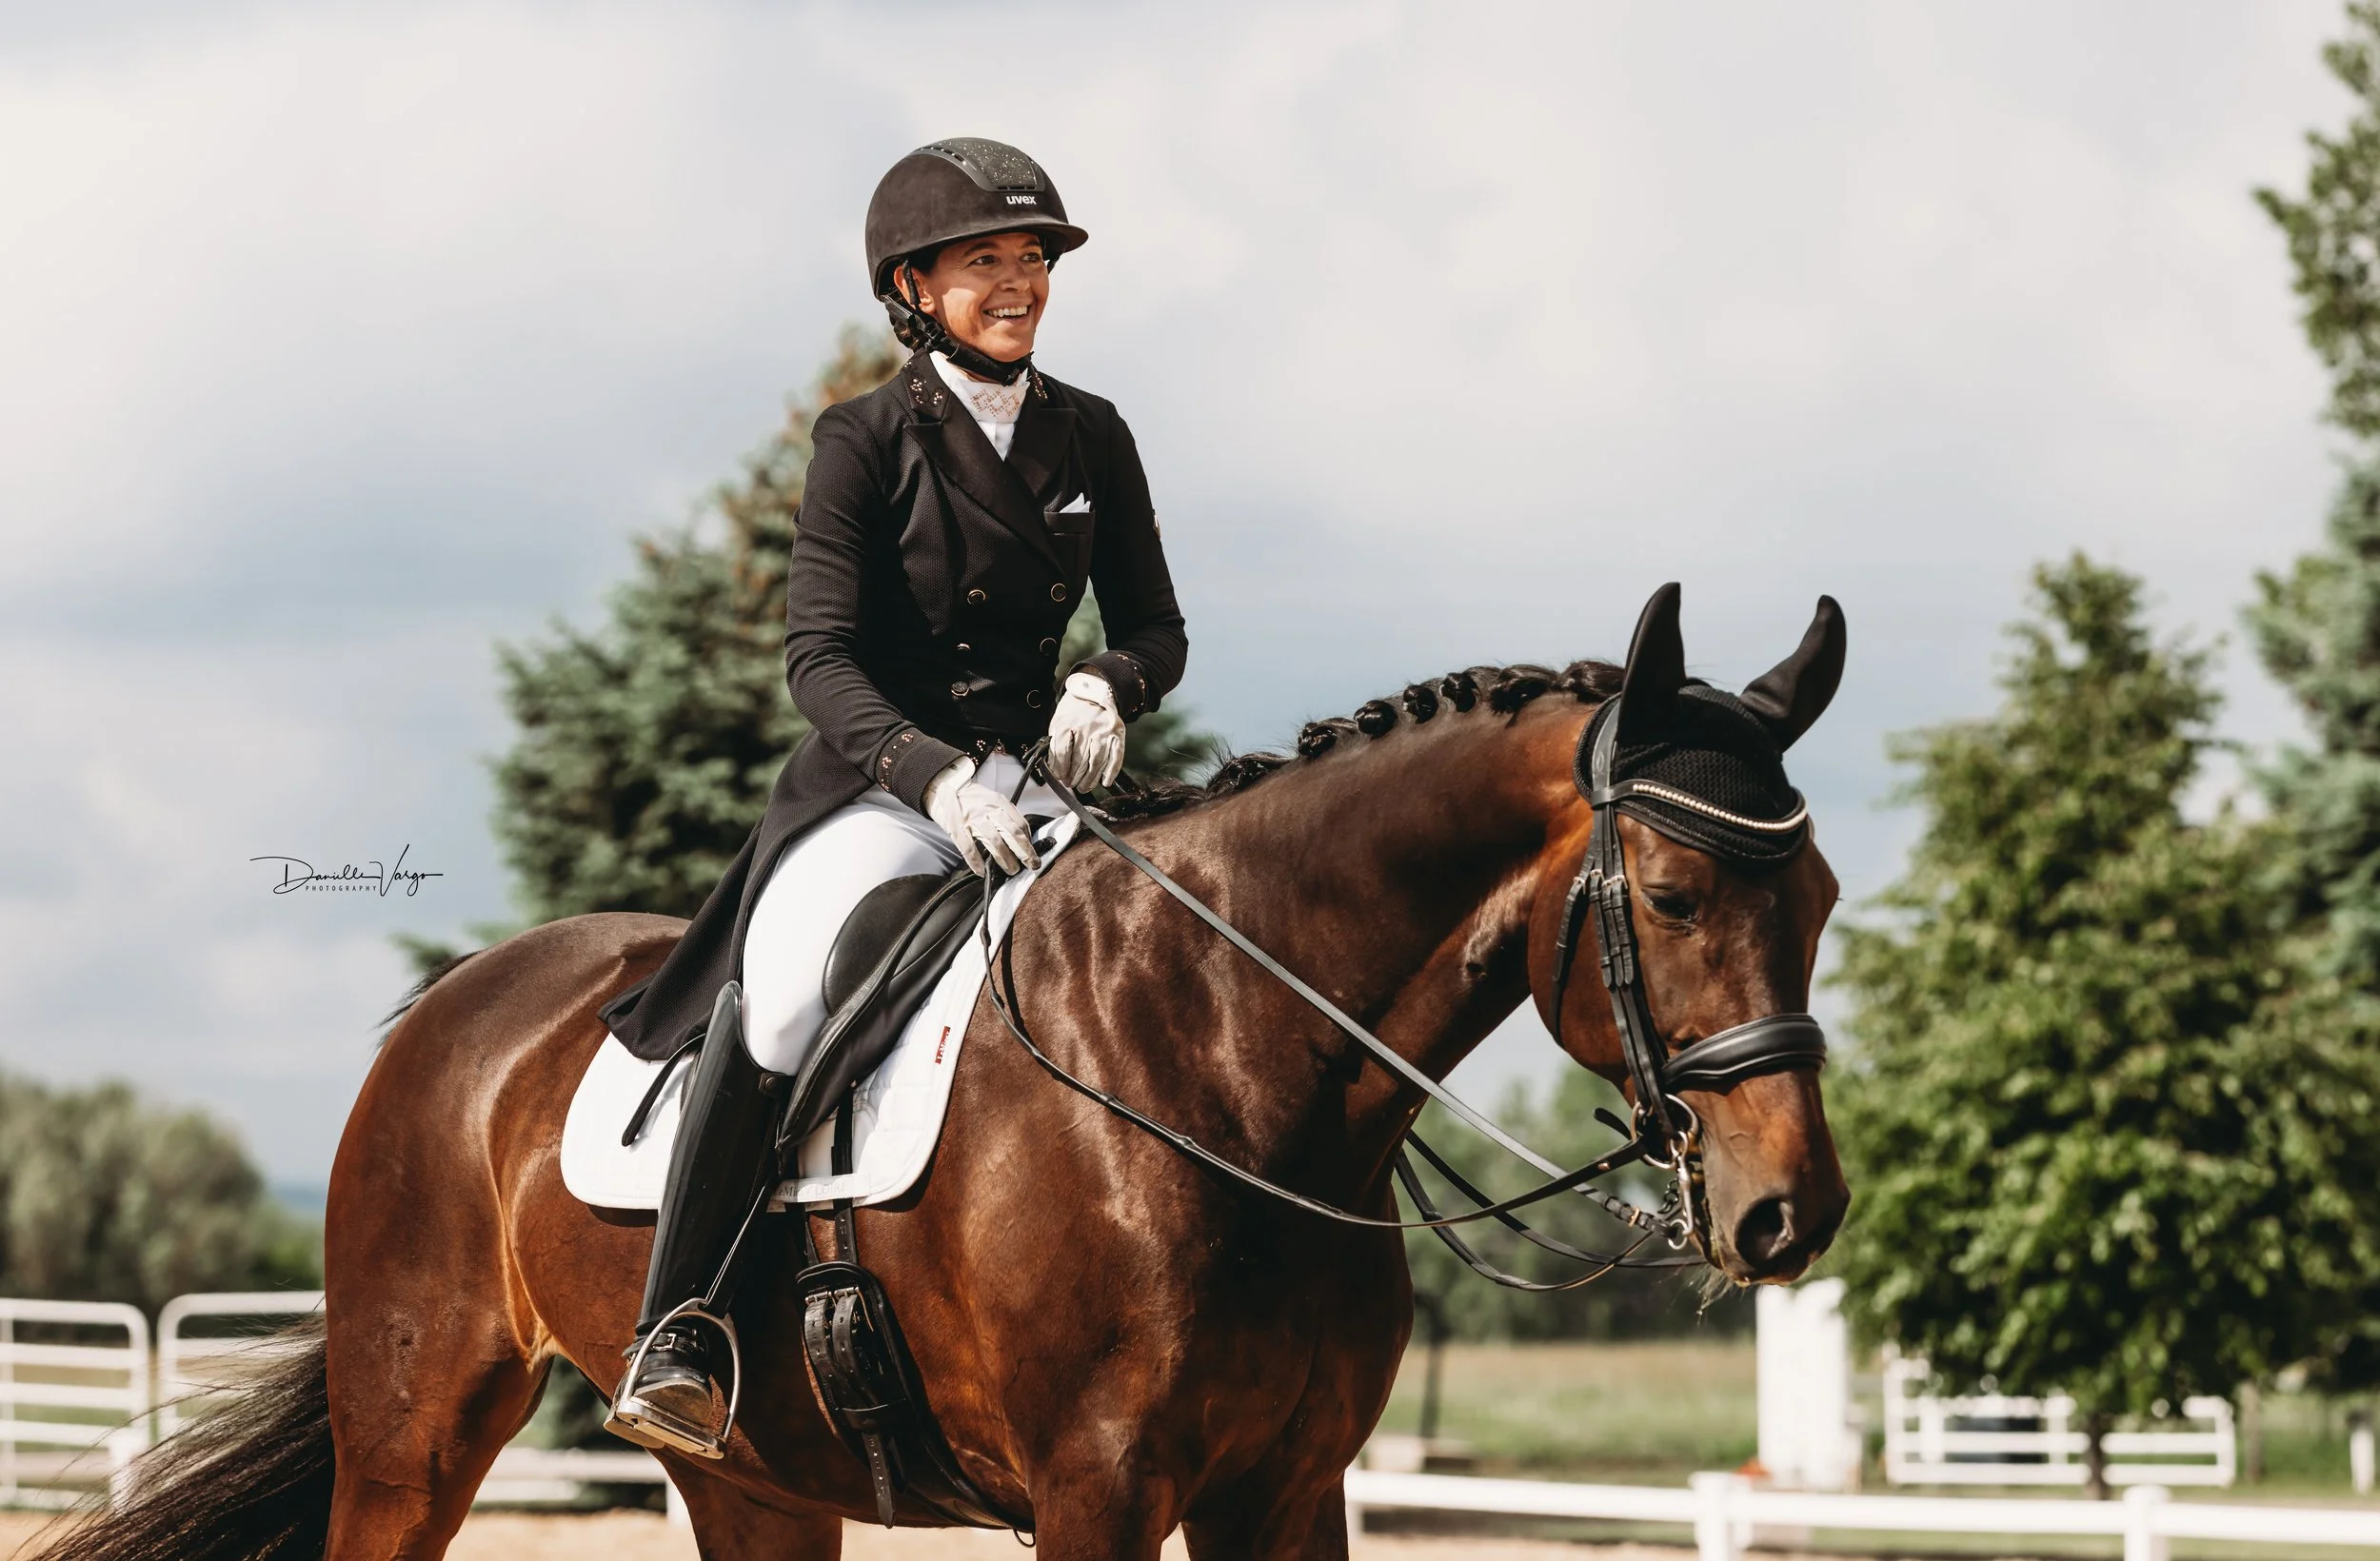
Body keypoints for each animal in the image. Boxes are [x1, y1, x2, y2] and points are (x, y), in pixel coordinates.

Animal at [46, 614, 1848, 1561]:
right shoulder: (1096, 1490)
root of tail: (447, 1015)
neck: (1219, 1059)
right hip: (416, 1435)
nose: (1792, 1214)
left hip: (750, 1478)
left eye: (1823, 898)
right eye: (1674, 896)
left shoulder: (1287, 1490)